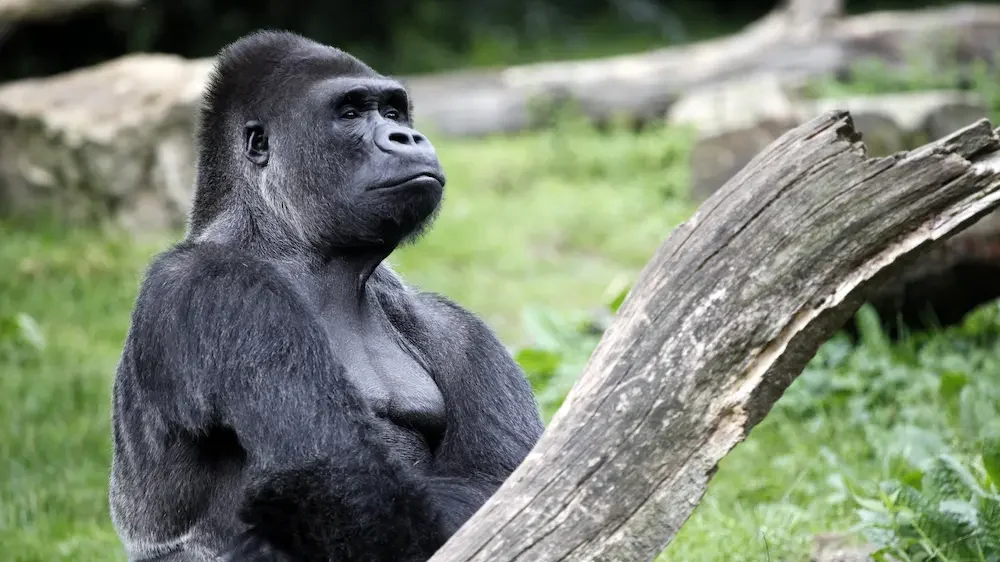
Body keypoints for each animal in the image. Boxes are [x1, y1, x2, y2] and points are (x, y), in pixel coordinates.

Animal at [108, 30, 544, 560]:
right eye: (350, 113)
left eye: (394, 112)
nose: (407, 138)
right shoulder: (220, 286)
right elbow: (323, 468)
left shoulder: (449, 324)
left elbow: (495, 477)